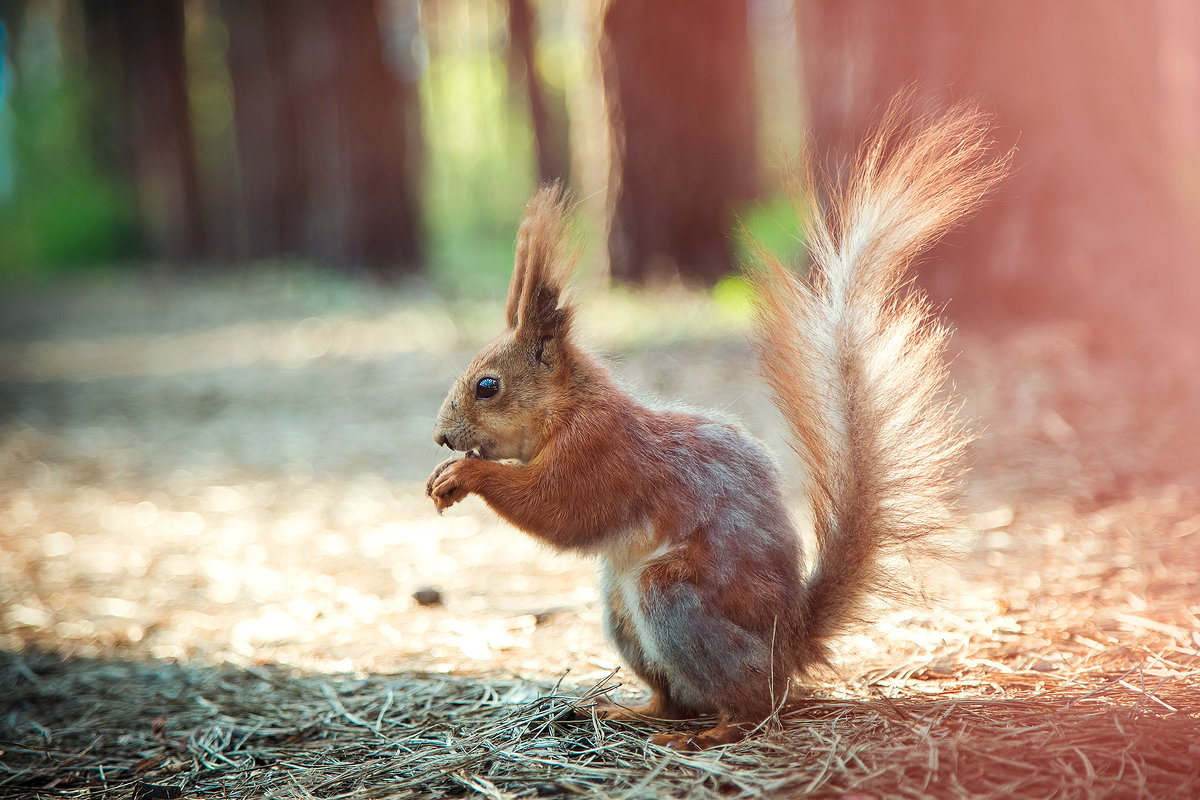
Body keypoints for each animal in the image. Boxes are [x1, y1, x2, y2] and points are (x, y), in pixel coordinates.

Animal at [427, 100, 1008, 753]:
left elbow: (562, 508)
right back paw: (634, 712)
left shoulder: (601, 452)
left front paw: (464, 474)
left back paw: (716, 730)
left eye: (487, 386)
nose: (442, 436)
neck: (571, 408)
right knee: (673, 698)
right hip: (619, 606)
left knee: (751, 698)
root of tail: (789, 643)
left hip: (673, 597)